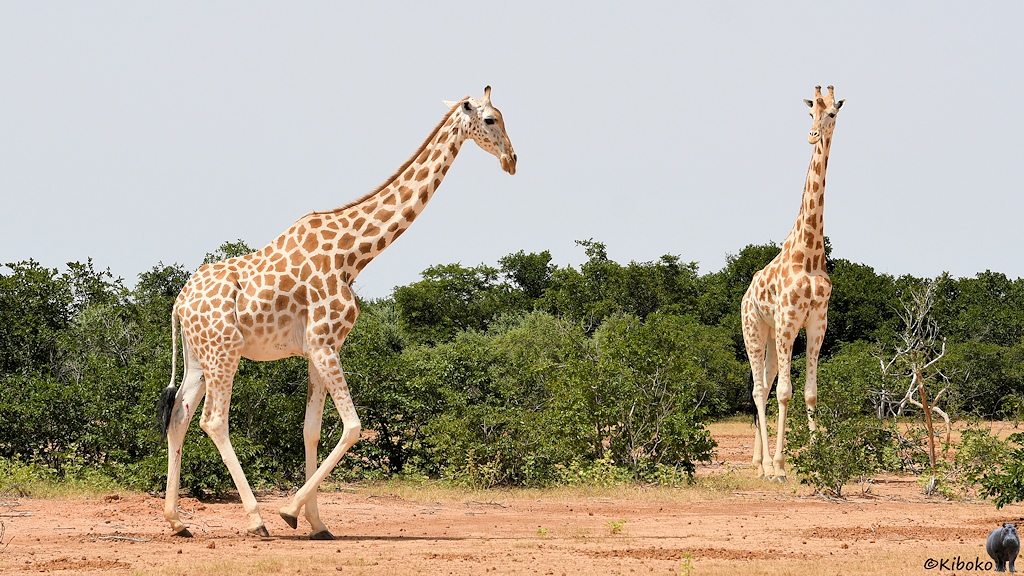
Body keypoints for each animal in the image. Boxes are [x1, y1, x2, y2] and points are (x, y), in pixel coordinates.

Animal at [156, 86, 516, 539]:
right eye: (490, 119)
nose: (512, 160)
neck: (353, 254)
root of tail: (179, 302)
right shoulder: (325, 342)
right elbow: (353, 427)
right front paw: (289, 511)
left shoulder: (317, 348)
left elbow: (311, 430)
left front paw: (316, 521)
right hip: (225, 352)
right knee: (214, 421)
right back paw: (255, 519)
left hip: (198, 357)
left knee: (179, 417)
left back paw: (177, 521)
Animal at [741, 85, 844, 481]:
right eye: (810, 112)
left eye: (832, 113)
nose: (813, 135)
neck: (809, 253)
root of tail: (745, 295)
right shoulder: (788, 319)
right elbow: (785, 391)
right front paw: (781, 466)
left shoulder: (817, 321)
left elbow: (809, 392)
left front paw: (818, 460)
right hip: (755, 329)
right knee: (759, 389)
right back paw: (768, 465)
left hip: (771, 334)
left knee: (765, 382)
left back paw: (758, 462)